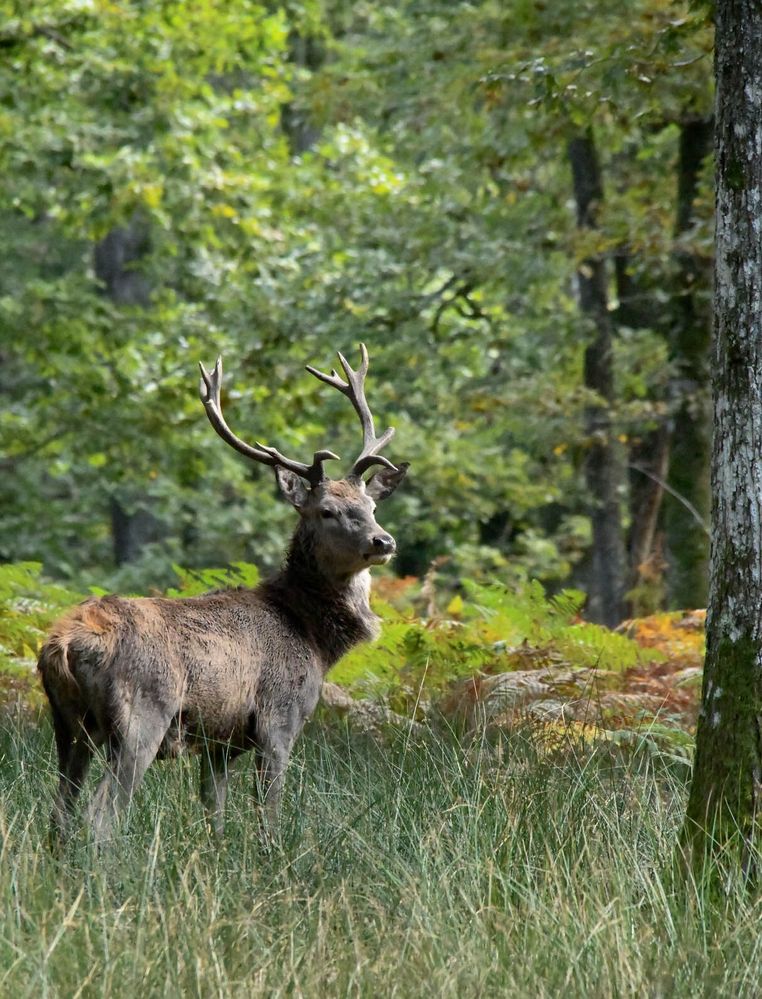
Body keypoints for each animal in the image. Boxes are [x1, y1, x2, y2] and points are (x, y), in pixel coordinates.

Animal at [38, 344, 408, 846]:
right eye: (327, 511)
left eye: (370, 506)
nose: (383, 541)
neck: (312, 638)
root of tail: (64, 643)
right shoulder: (278, 717)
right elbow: (268, 812)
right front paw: (275, 856)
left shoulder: (219, 741)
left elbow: (214, 811)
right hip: (140, 716)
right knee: (101, 816)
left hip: (66, 724)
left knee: (59, 812)